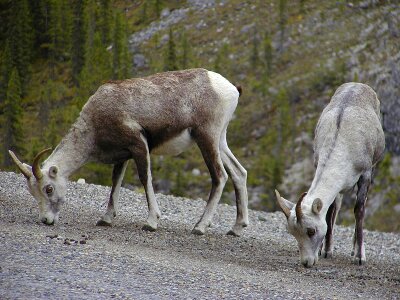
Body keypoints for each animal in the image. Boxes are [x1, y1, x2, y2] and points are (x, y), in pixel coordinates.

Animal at [8, 68, 247, 237]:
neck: (94, 125)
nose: (46, 220)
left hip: (206, 138)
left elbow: (145, 179)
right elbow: (116, 184)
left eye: (48, 188)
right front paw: (105, 219)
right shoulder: (122, 156)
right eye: (32, 192)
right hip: (220, 141)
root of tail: (230, 89)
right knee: (239, 173)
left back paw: (200, 227)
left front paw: (151, 222)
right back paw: (236, 228)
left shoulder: (138, 146)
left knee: (220, 176)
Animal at [276, 82, 384, 268]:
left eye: (311, 231)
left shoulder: (365, 174)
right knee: (336, 208)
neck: (341, 143)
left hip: (373, 167)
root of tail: (358, 84)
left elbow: (359, 210)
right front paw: (326, 251)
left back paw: (354, 250)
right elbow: (329, 213)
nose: (306, 262)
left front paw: (359, 257)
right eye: (292, 232)